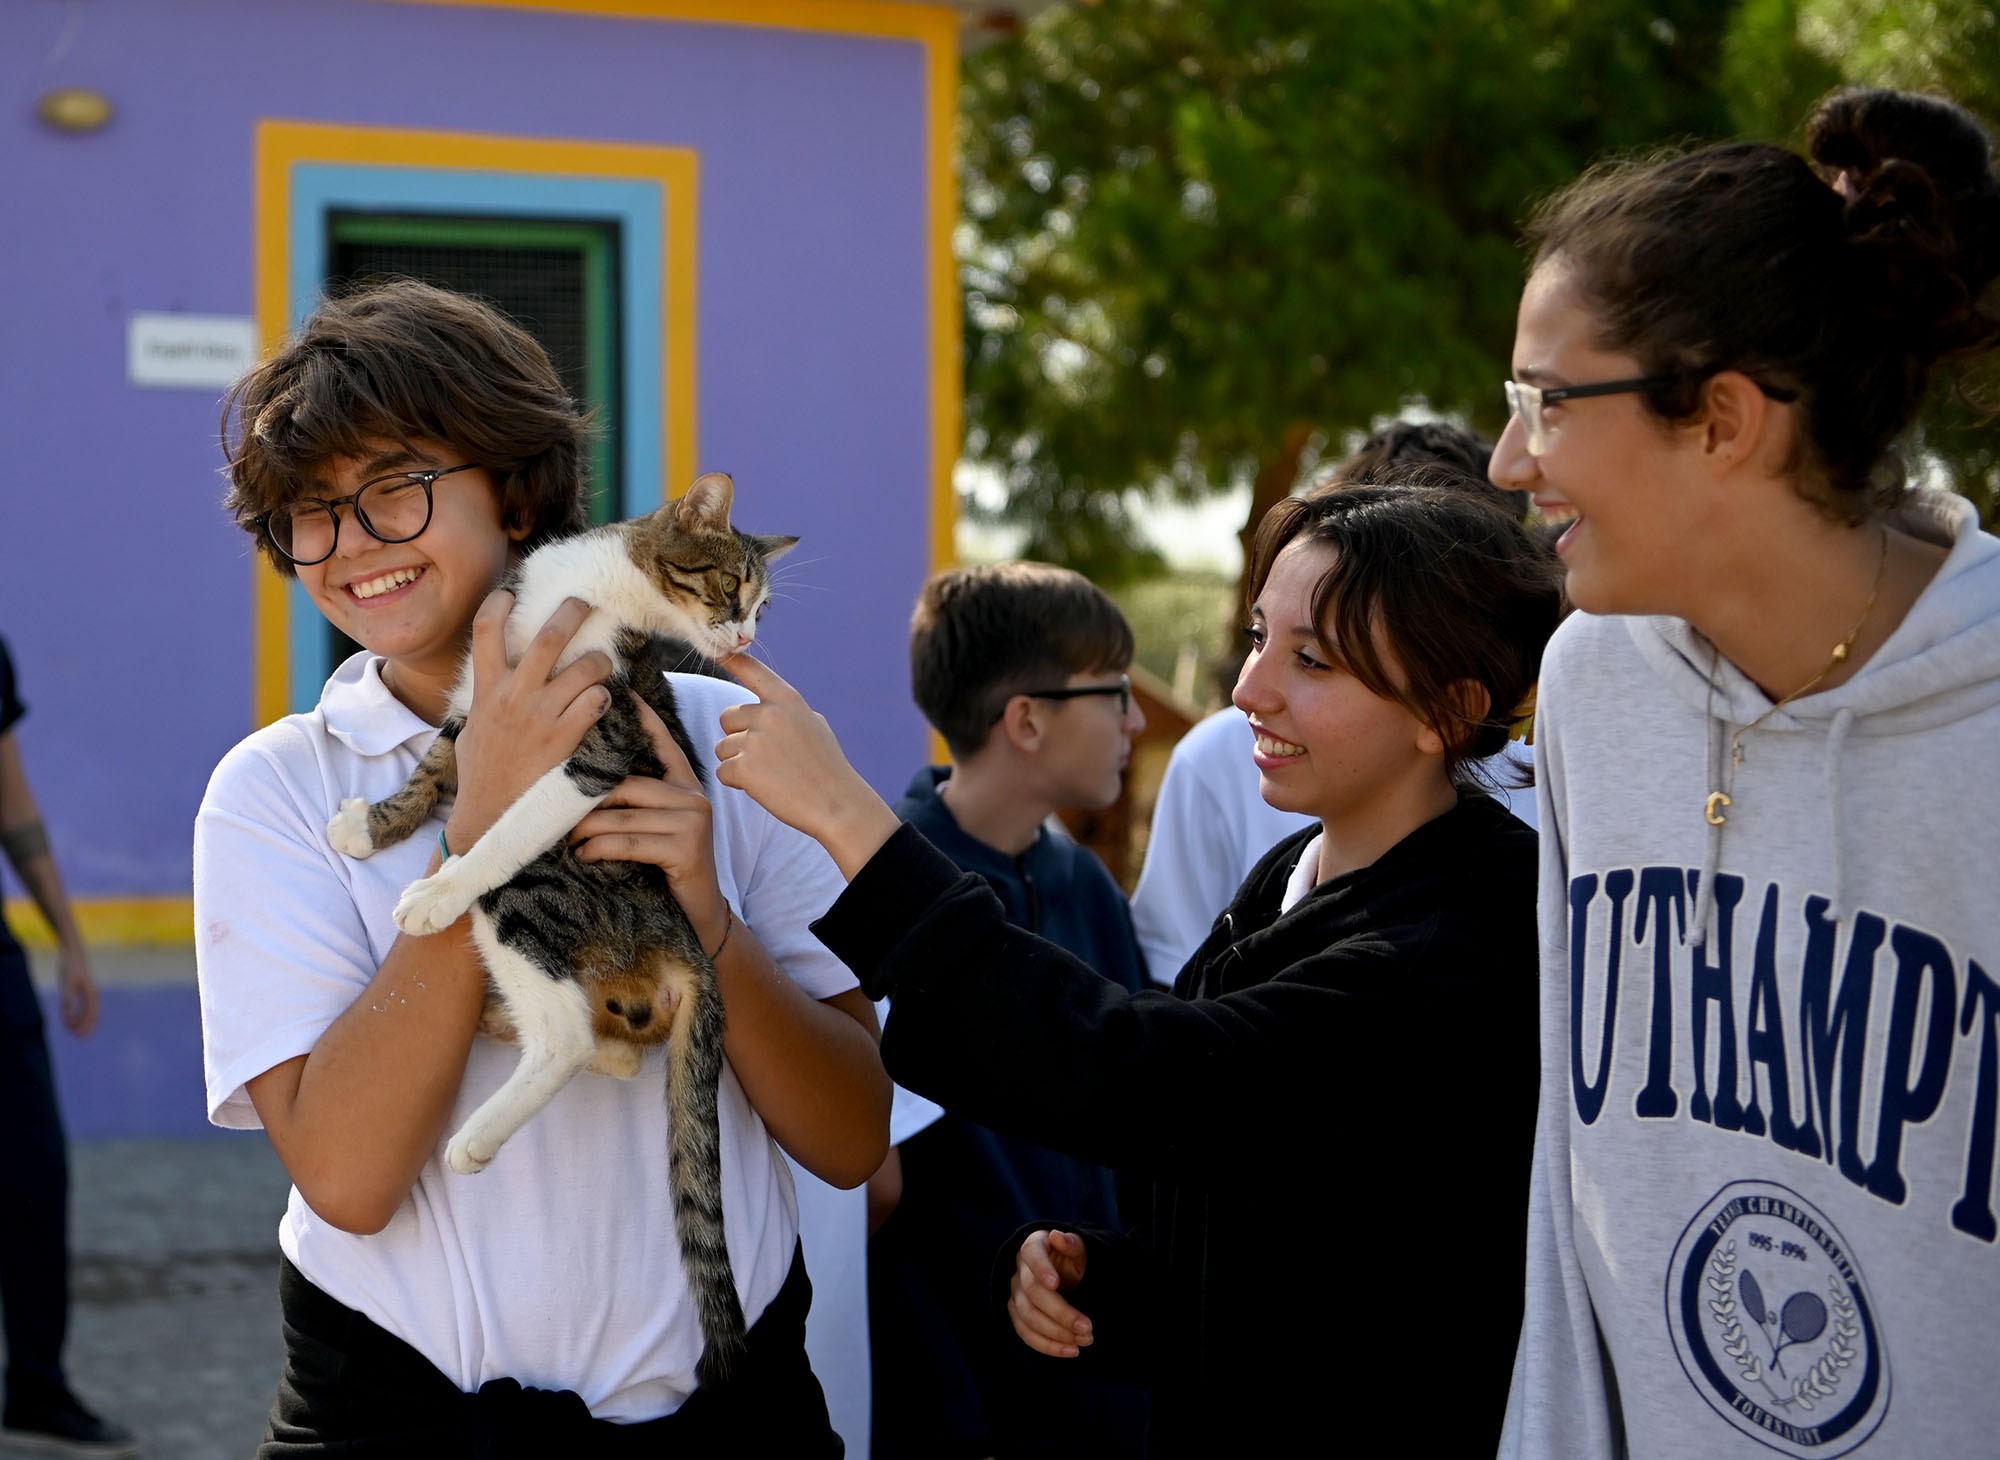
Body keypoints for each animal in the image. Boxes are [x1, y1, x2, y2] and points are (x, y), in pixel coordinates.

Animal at [328, 472, 796, 1384]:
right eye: (733, 588)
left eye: (762, 604)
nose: (747, 636)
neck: (590, 593)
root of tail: (690, 942)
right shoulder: (478, 696)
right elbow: (438, 762)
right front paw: (375, 825)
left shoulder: (600, 740)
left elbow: (507, 821)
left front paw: (441, 886)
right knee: (610, 1045)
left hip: (533, 892)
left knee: (569, 1033)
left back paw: (477, 1133)